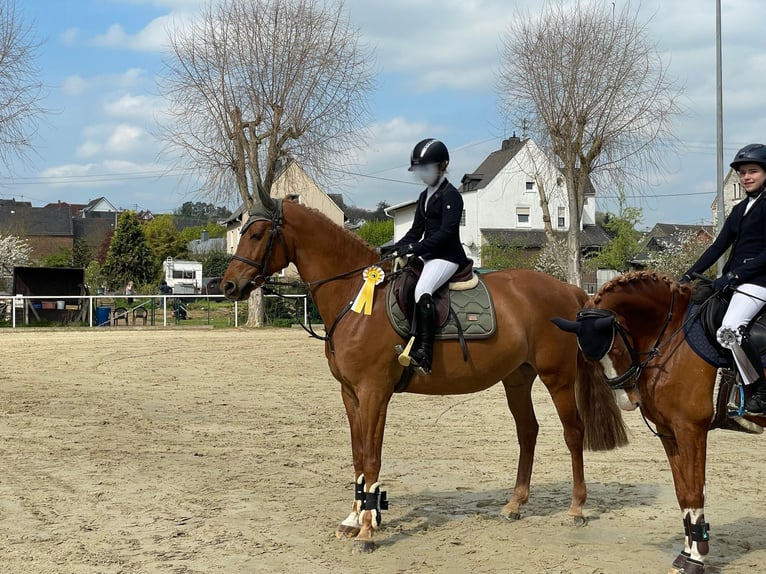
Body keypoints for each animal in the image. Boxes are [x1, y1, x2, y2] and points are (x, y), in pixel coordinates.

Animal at [222, 197, 632, 552]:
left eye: (256, 234)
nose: (227, 285)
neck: (355, 298)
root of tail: (569, 290)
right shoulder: (350, 394)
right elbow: (357, 454)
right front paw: (354, 519)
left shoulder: (374, 392)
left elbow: (372, 457)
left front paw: (367, 531)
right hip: (517, 377)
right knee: (527, 432)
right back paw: (515, 505)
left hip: (557, 377)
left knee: (573, 432)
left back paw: (576, 508)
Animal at [552, 272, 760, 574]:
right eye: (590, 359)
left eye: (616, 348)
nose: (627, 400)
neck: (672, 337)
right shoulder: (668, 431)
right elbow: (683, 492)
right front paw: (685, 554)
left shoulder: (691, 429)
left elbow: (695, 492)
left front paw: (697, 559)